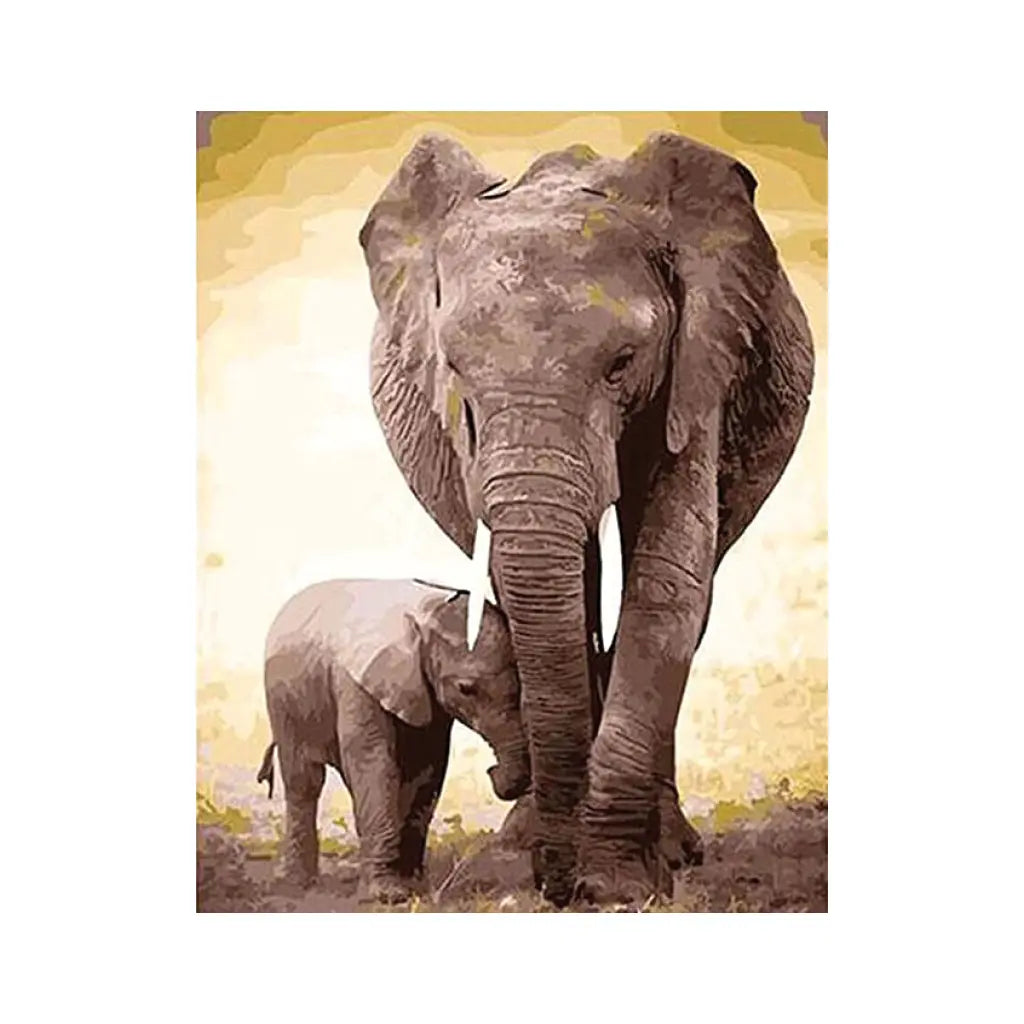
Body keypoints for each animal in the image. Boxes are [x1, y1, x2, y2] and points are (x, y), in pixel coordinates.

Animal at [257, 578, 530, 902]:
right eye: (466, 689)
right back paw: (297, 883)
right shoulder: (357, 685)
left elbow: (428, 767)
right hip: (281, 699)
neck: (425, 617)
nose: (492, 771)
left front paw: (413, 887)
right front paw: (387, 896)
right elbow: (374, 762)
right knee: (304, 781)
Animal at [359, 132, 814, 907]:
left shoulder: (700, 369)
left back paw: (672, 848)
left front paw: (616, 882)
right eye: (455, 370)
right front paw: (563, 862)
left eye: (622, 363)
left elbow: (666, 582)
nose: (557, 885)